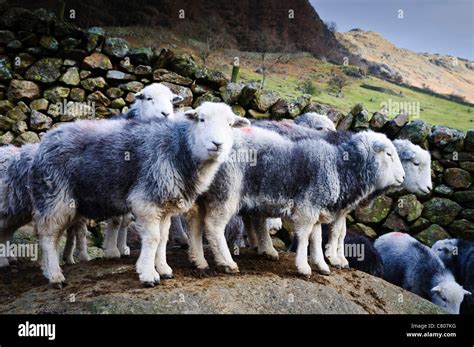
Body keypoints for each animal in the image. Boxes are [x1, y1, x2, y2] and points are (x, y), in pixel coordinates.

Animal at [29, 102, 250, 286]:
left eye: (230, 124)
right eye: (201, 119)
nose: (217, 144)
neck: (178, 146)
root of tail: (46, 139)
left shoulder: (165, 205)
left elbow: (162, 238)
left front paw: (163, 269)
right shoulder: (146, 200)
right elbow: (152, 238)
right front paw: (148, 274)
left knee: (51, 235)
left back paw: (48, 270)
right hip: (55, 195)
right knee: (48, 236)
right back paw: (55, 276)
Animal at [185, 128, 404, 278]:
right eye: (389, 154)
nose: (402, 178)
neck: (340, 167)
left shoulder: (316, 209)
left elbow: (316, 239)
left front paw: (321, 265)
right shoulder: (307, 209)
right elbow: (305, 237)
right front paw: (304, 267)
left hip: (207, 193)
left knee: (196, 222)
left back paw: (199, 260)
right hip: (227, 191)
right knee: (214, 226)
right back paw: (227, 262)